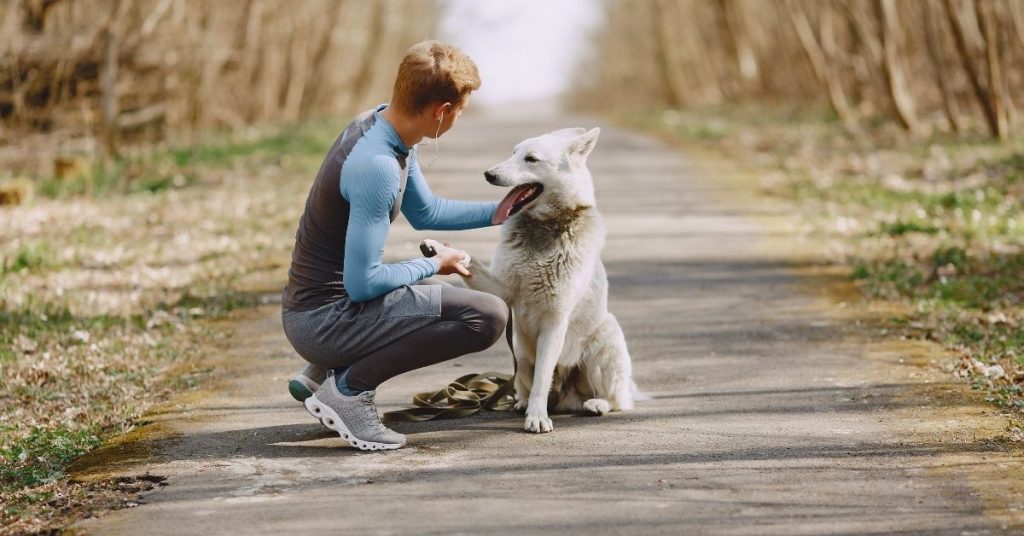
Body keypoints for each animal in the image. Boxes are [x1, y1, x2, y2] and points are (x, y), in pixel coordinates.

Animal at [454, 128, 630, 434]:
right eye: (513, 152)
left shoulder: (555, 321)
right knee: (523, 383)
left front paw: (537, 417)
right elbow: (471, 264)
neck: (545, 226)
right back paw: (521, 402)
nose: (488, 174)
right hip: (521, 353)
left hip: (605, 341)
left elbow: (542, 379)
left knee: (617, 398)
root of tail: (568, 397)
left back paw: (596, 404)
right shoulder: (503, 290)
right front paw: (438, 251)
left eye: (531, 159)